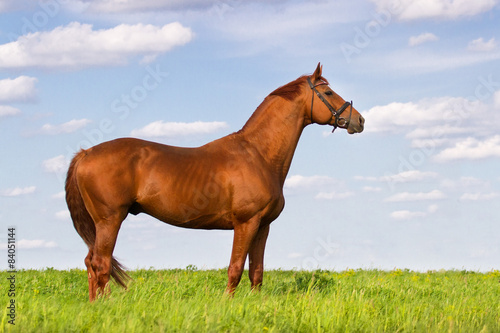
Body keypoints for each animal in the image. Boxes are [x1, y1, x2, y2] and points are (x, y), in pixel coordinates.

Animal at [65, 62, 364, 300]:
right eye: (328, 92)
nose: (359, 120)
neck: (258, 154)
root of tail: (86, 154)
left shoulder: (263, 226)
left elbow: (257, 272)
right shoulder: (246, 223)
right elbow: (235, 268)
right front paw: (228, 304)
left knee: (91, 263)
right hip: (110, 220)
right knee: (101, 264)